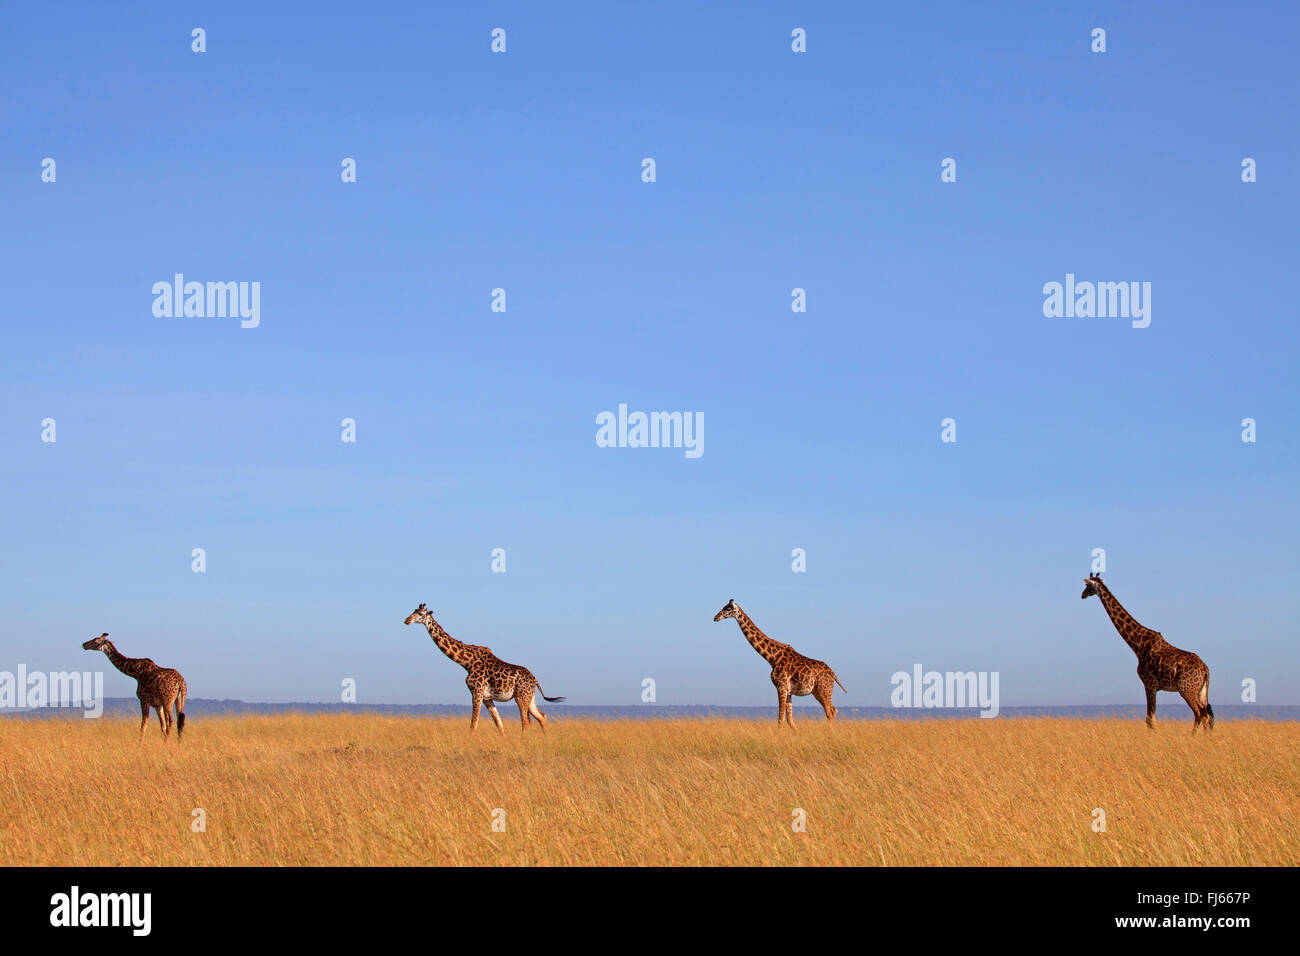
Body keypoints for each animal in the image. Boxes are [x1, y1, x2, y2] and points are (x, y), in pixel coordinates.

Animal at [403, 600, 566, 738]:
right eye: (414, 610)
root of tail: (535, 680)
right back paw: (545, 739)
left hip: (521, 697)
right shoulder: (487, 697)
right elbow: (499, 724)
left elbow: (473, 724)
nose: (406, 620)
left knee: (526, 721)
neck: (466, 662)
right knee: (541, 716)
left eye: (420, 614)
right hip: (529, 697)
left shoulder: (477, 692)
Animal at [712, 598, 842, 723]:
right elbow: (789, 719)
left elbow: (780, 719)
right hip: (817, 692)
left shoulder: (781, 687)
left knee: (830, 712)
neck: (772, 658)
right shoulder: (788, 691)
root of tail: (833, 675)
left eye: (728, 608)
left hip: (823, 690)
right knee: (833, 710)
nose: (715, 617)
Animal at [1081, 574, 1211, 733]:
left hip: (1186, 689)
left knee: (1199, 713)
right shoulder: (1152, 685)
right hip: (1202, 691)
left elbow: (1150, 719)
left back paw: (1193, 736)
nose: (1082, 595)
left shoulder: (1149, 683)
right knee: (1206, 715)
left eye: (1087, 586)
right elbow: (1150, 719)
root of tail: (1205, 669)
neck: (1138, 644)